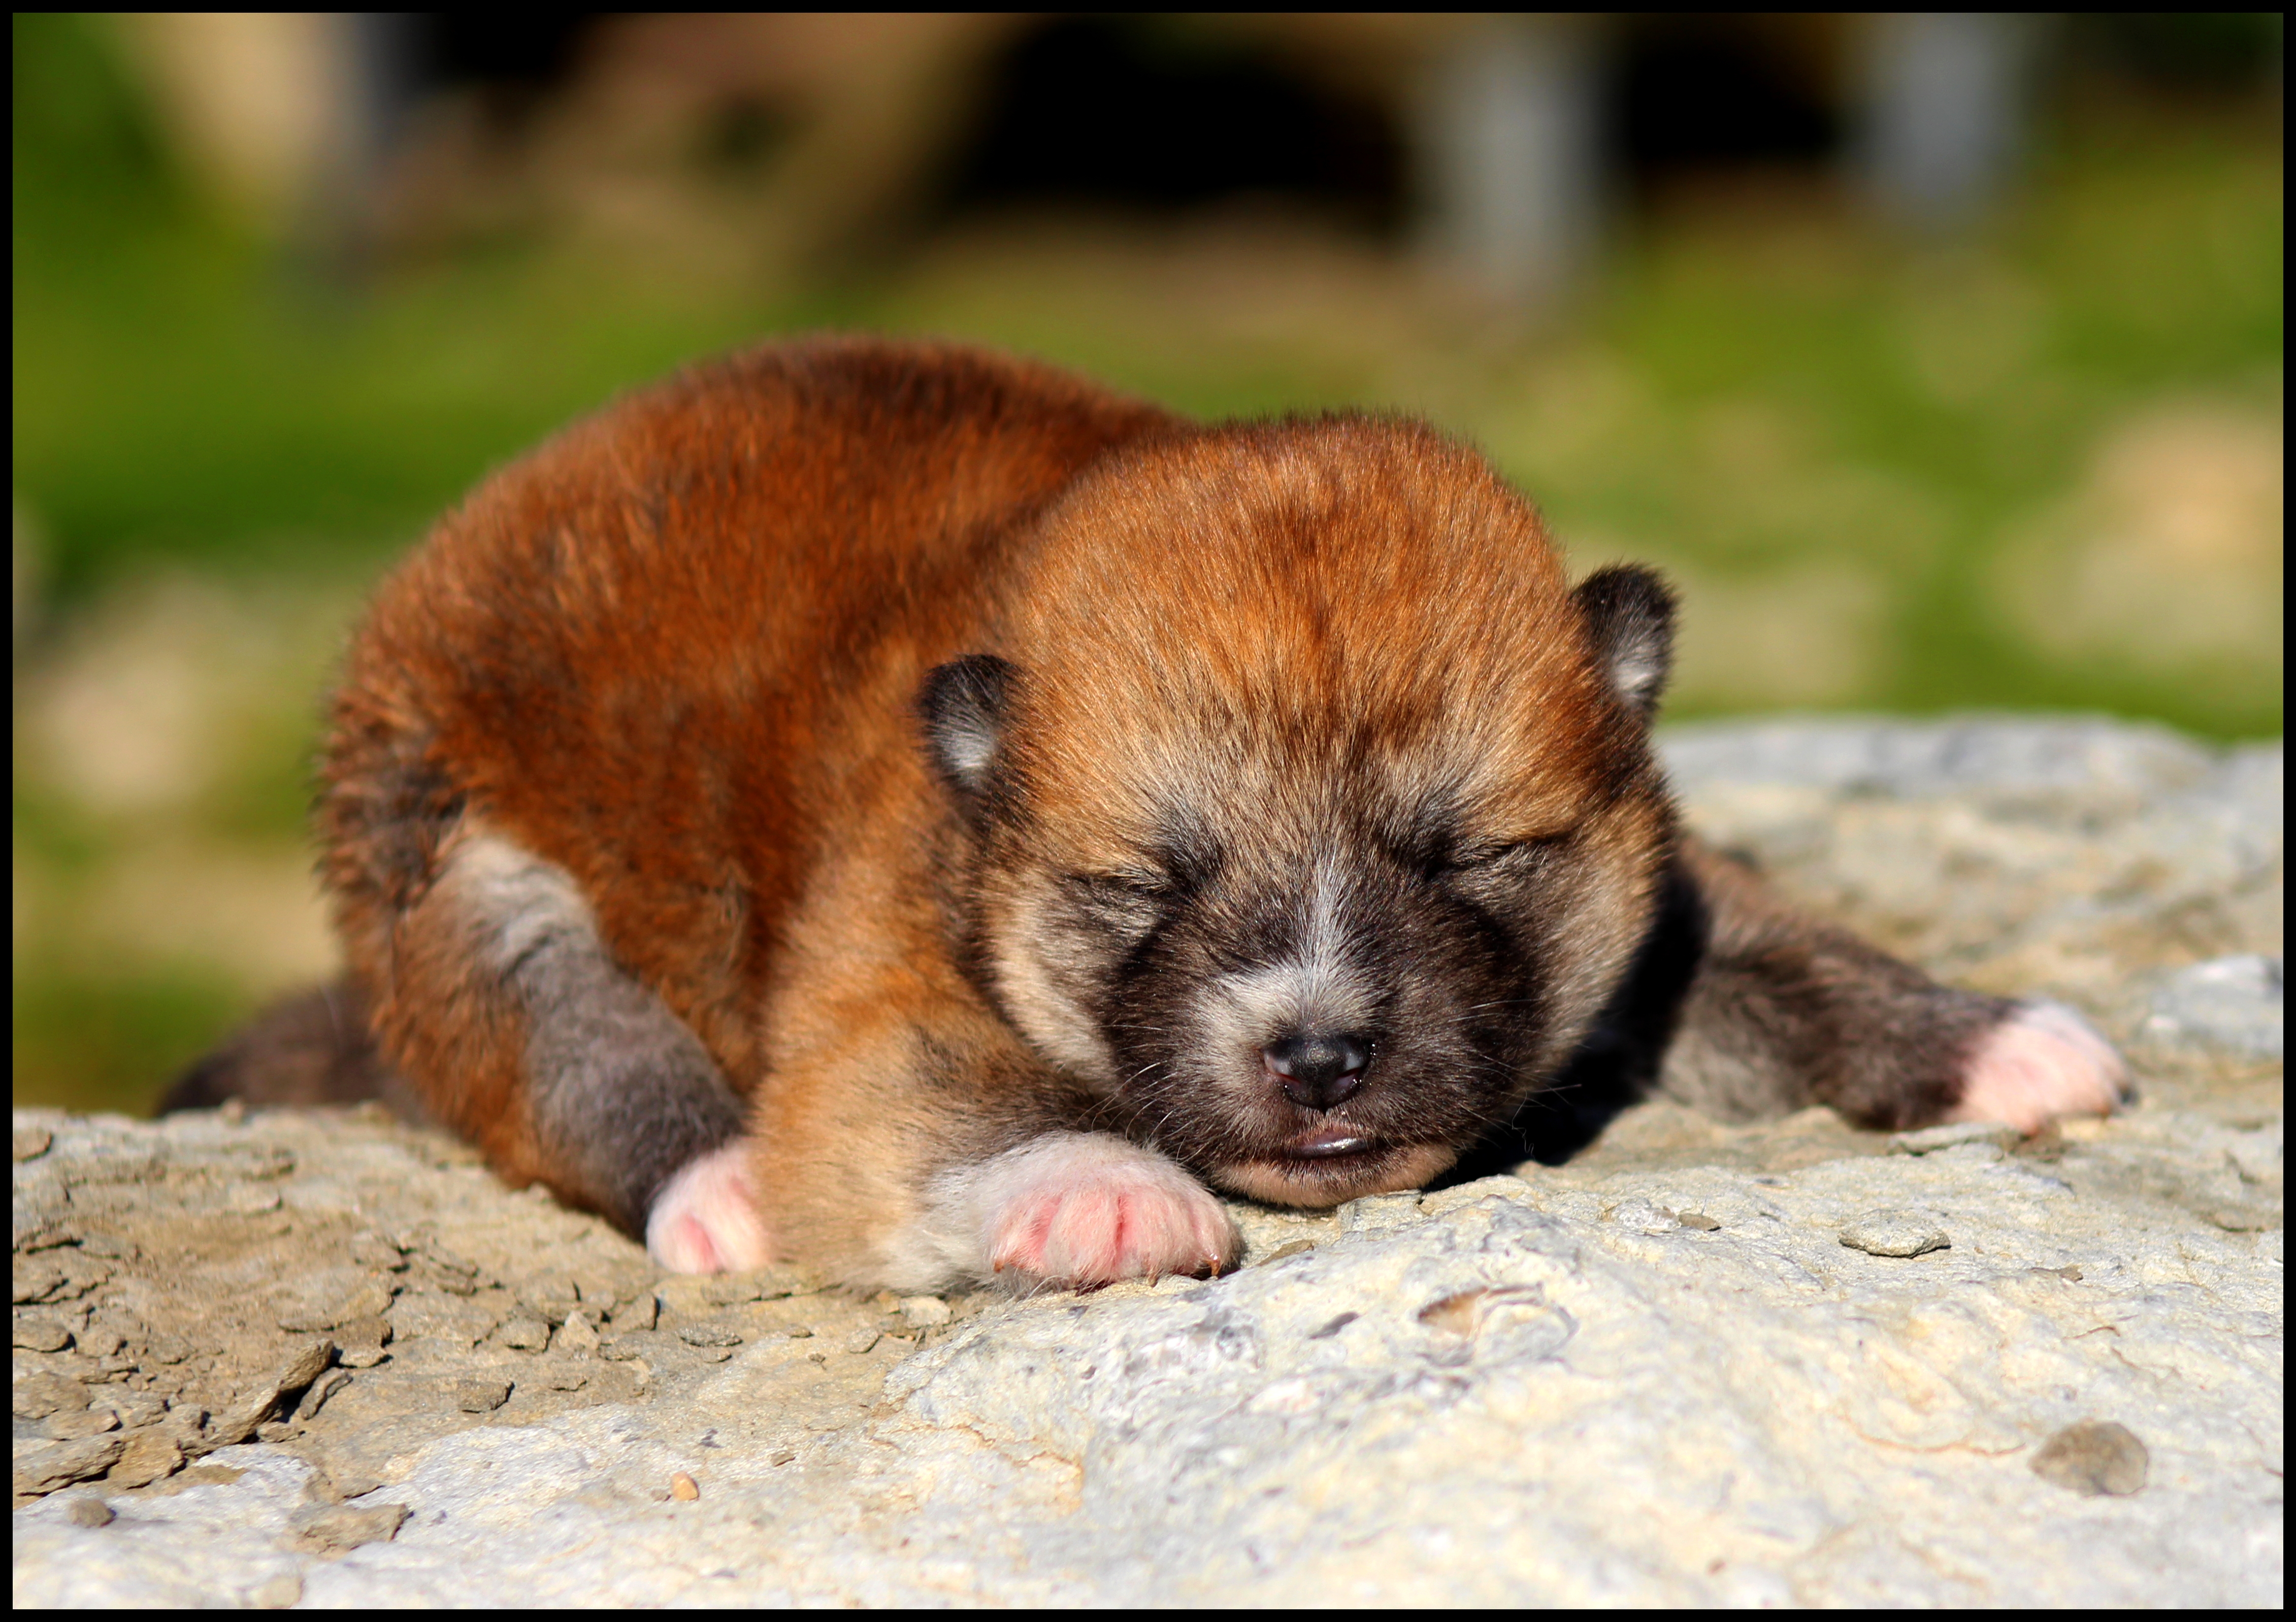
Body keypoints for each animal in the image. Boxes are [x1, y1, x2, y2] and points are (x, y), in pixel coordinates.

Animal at [170, 337, 2121, 1284]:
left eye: (1468, 854)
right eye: (1146, 881)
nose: (1322, 1050)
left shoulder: (1650, 920)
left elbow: (1779, 958)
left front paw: (1986, 1039)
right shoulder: (878, 1011)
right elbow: (943, 1115)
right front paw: (1105, 1193)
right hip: (444, 867)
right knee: (566, 1046)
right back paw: (711, 1187)